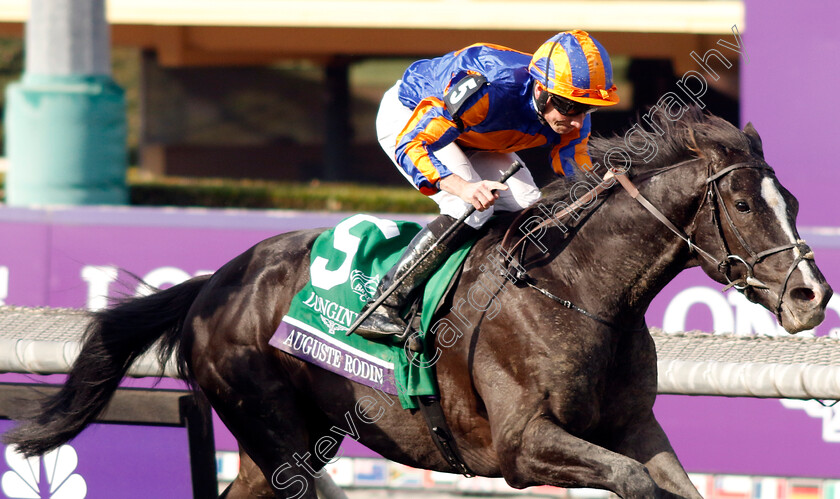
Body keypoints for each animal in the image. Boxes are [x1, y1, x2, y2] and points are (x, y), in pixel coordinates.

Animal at [4, 110, 832, 499]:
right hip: (273, 428)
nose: (811, 296)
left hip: (282, 440)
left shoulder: (633, 425)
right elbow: (629, 480)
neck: (580, 290)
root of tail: (215, 282)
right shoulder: (522, 445)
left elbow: (667, 480)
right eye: (742, 204)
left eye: (791, 200)